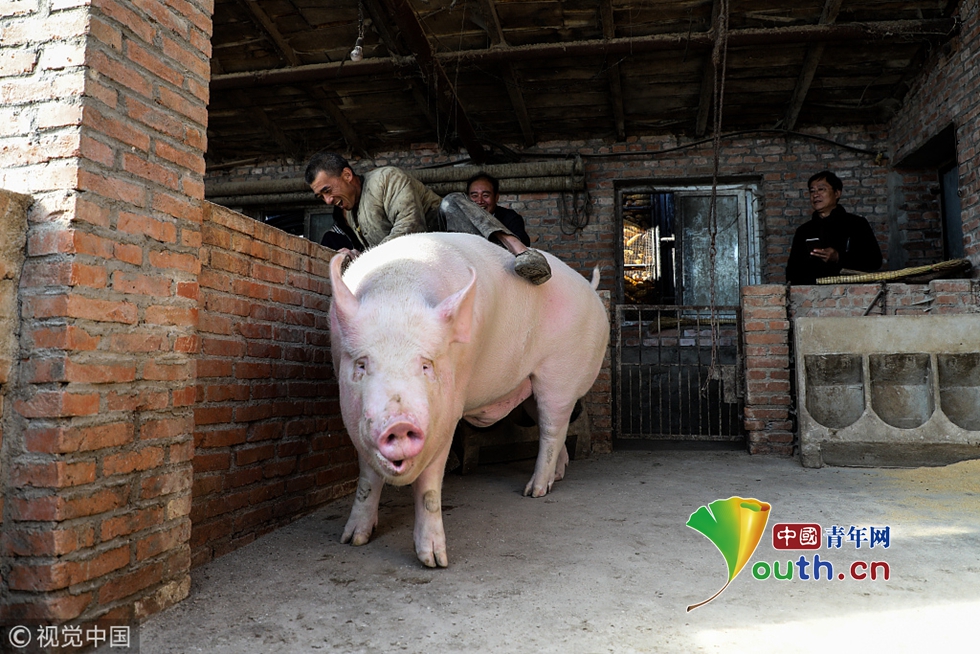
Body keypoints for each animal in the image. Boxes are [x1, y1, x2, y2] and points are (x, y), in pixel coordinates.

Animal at [329, 232, 609, 567]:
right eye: (361, 365)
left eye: (427, 365)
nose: (398, 424)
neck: (398, 291)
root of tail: (591, 289)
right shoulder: (354, 418)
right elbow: (368, 476)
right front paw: (352, 540)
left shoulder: (448, 411)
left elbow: (430, 483)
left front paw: (435, 562)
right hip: (530, 385)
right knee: (554, 427)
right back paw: (556, 477)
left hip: (560, 376)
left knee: (552, 429)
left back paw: (534, 492)